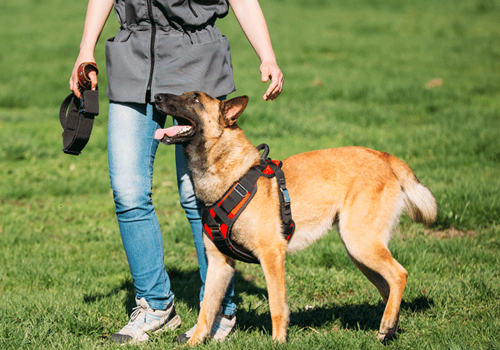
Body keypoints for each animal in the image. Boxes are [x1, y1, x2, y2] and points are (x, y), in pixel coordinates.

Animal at [153, 91, 438, 344]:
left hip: (360, 243)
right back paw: (388, 329)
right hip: (359, 251)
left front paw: (278, 342)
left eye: (195, 98)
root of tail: (384, 157)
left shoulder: (272, 254)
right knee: (388, 286)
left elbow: (277, 306)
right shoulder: (219, 263)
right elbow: (206, 311)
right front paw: (194, 343)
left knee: (399, 275)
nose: (156, 96)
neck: (231, 178)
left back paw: (388, 324)